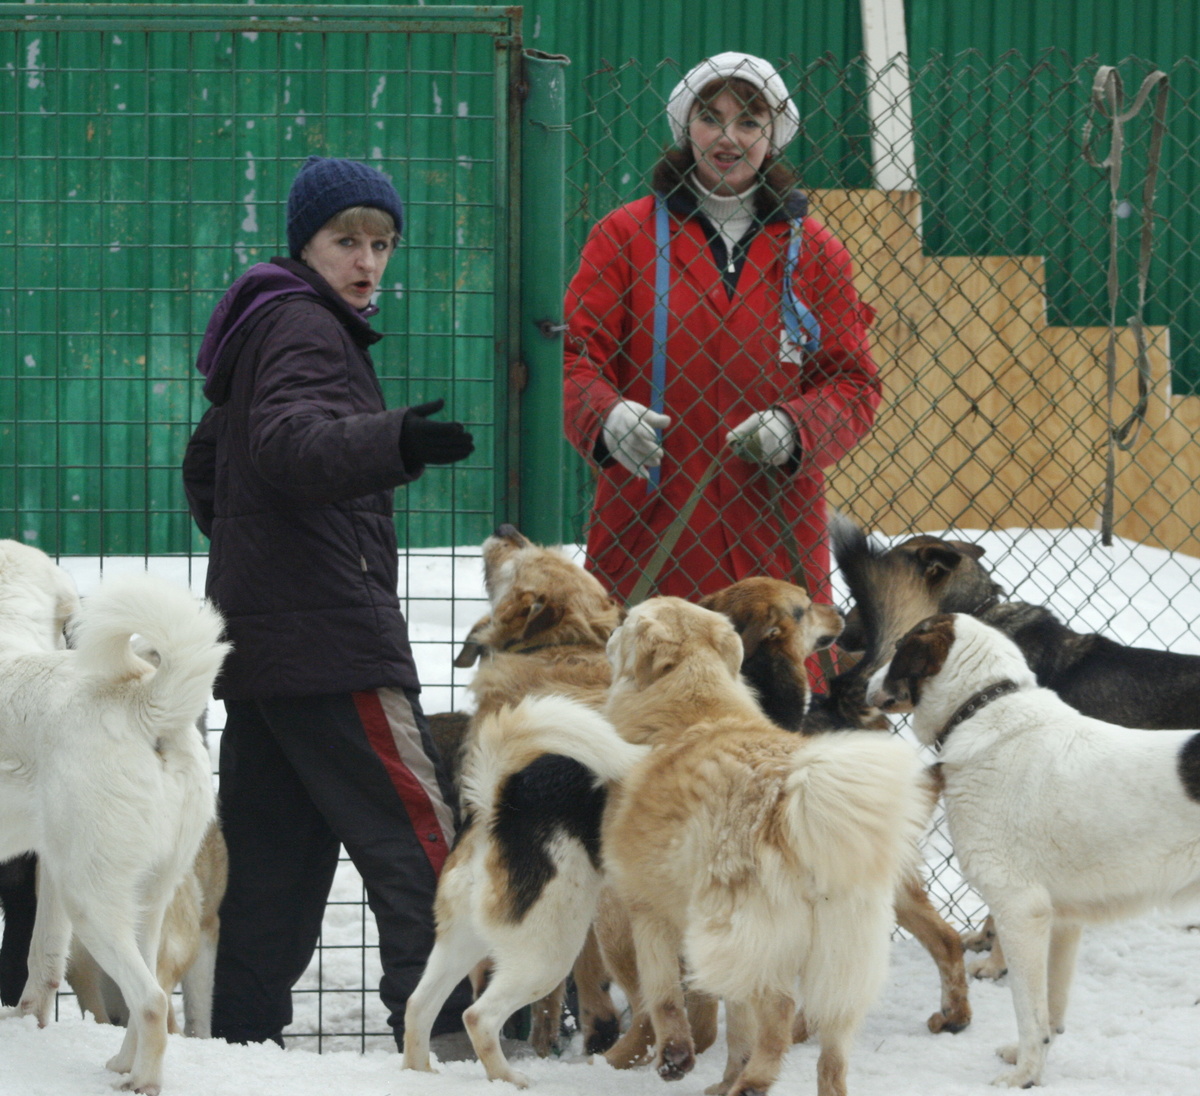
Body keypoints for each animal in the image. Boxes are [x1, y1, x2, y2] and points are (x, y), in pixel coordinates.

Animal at [0, 540, 226, 1094]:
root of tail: (146, 701)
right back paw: (123, 1063)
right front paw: (27, 1021)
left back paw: (141, 1081)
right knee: (148, 995)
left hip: (92, 900)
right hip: (140, 897)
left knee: (150, 1001)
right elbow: (43, 957)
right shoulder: (47, 869)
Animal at [600, 597, 926, 1094]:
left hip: (741, 937)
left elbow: (664, 997)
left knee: (780, 1013)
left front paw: (677, 1058)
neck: (692, 702)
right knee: (830, 1055)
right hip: (834, 959)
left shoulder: (647, 911)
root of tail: (795, 805)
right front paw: (722, 1078)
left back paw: (753, 1082)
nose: (607, 631)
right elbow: (737, 1028)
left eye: (627, 621)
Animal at [868, 614, 1200, 1085]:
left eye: (899, 648)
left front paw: (1022, 1078)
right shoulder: (1062, 921)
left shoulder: (1020, 911)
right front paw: (1031, 1065)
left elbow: (1029, 1013)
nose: (864, 683)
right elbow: (1051, 1016)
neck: (980, 707)